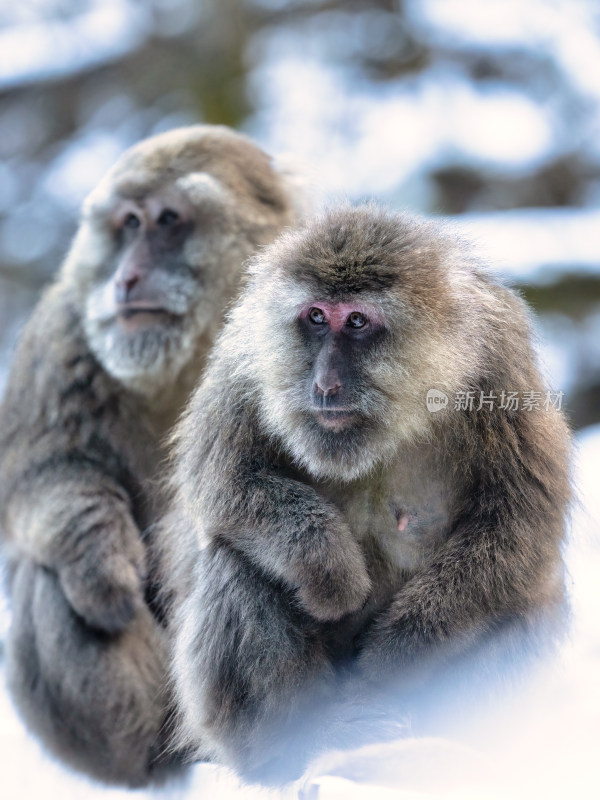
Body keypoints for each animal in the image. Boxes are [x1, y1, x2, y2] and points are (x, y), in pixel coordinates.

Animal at [0, 125, 302, 788]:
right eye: (127, 223)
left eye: (167, 221)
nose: (126, 278)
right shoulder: (65, 331)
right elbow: (40, 477)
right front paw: (99, 563)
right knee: (44, 575)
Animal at [163, 202, 572, 780]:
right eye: (316, 317)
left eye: (356, 321)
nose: (325, 384)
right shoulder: (246, 351)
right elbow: (221, 482)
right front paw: (328, 567)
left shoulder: (500, 360)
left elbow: (520, 518)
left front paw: (400, 649)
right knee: (234, 561)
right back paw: (301, 741)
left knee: (518, 593)